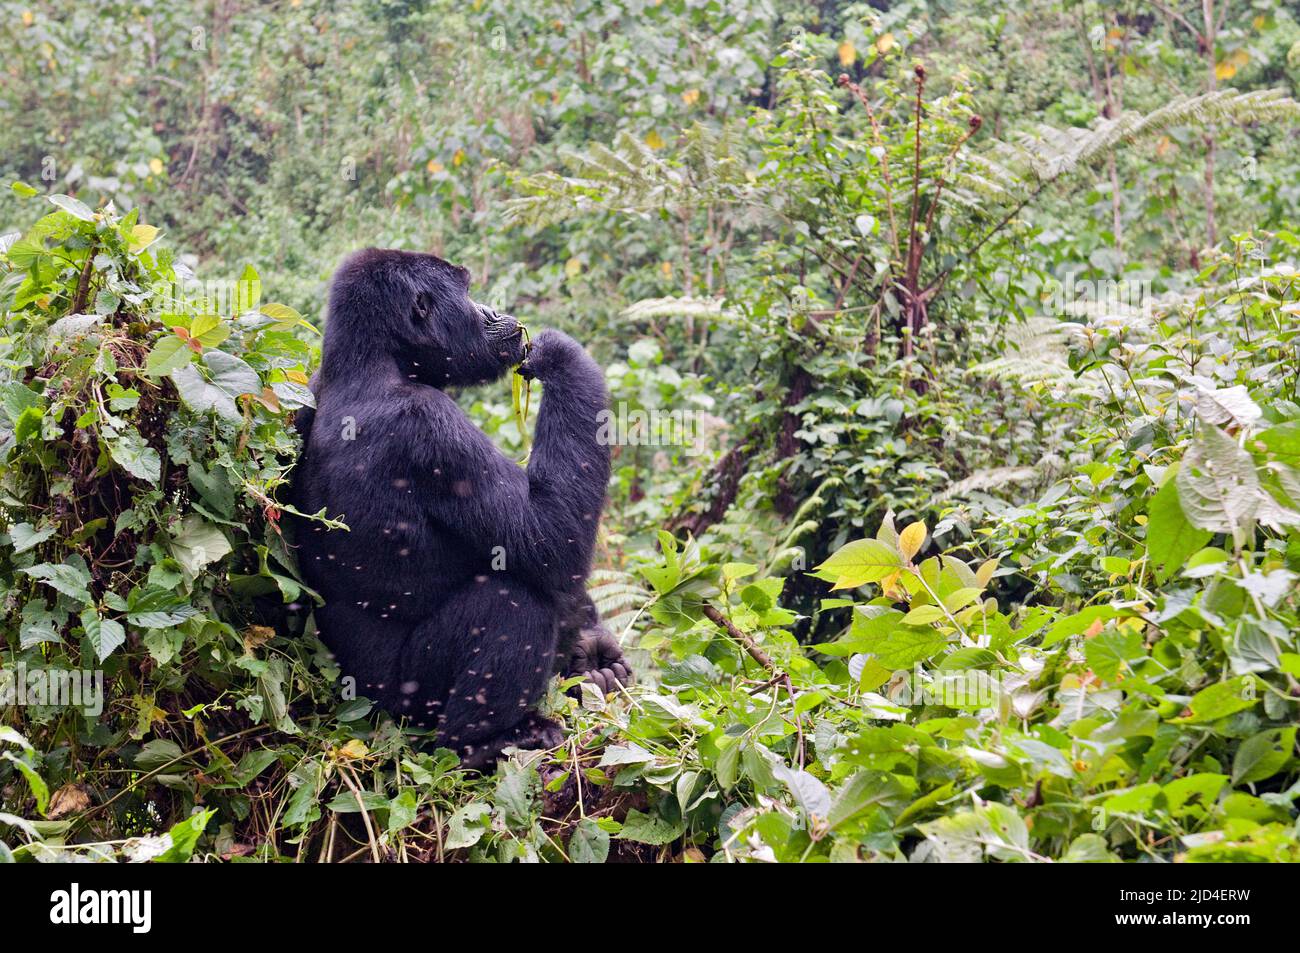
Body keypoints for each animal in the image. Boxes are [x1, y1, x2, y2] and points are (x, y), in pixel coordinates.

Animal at [296, 249, 639, 769]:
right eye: (465, 290)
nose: (493, 310)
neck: (373, 361)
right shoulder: (429, 427)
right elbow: (551, 544)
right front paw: (561, 357)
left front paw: (594, 651)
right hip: (400, 709)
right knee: (511, 602)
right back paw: (480, 744)